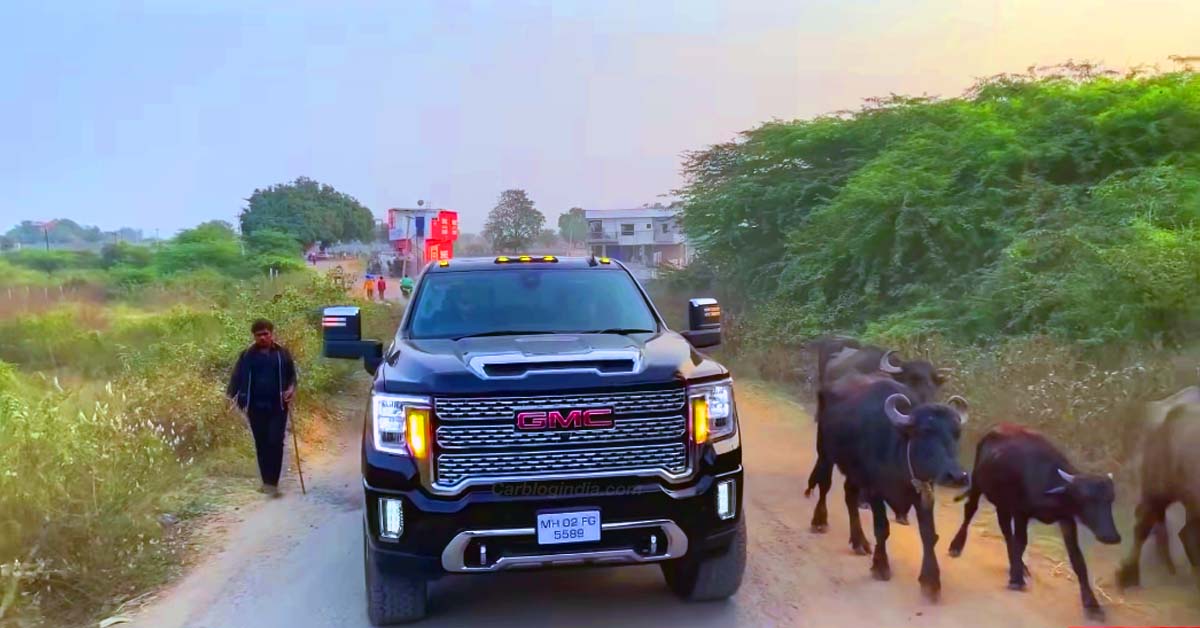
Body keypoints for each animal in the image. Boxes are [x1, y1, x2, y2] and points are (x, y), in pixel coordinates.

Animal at [806, 377, 964, 602]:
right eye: (926, 430)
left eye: (956, 433)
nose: (957, 476)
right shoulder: (875, 491)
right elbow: (882, 528)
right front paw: (880, 565)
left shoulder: (924, 494)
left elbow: (929, 535)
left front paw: (931, 580)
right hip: (825, 453)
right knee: (825, 486)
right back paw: (819, 521)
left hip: (854, 473)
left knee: (850, 496)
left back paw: (859, 542)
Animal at [945, 425, 1123, 619]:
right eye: (1086, 498)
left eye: (1110, 499)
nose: (1111, 536)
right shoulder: (1021, 512)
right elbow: (1021, 541)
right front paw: (1016, 580)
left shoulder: (1067, 519)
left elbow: (1077, 559)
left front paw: (1092, 605)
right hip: (978, 484)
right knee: (970, 511)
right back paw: (956, 546)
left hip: (1003, 504)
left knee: (1005, 530)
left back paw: (1018, 565)